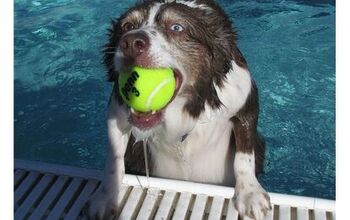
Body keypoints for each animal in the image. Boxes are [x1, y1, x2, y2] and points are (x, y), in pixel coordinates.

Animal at [86, 0, 272, 219]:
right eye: (127, 26)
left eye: (177, 28)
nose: (130, 43)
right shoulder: (117, 111)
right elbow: (114, 158)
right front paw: (106, 196)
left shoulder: (244, 100)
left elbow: (244, 154)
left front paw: (249, 193)